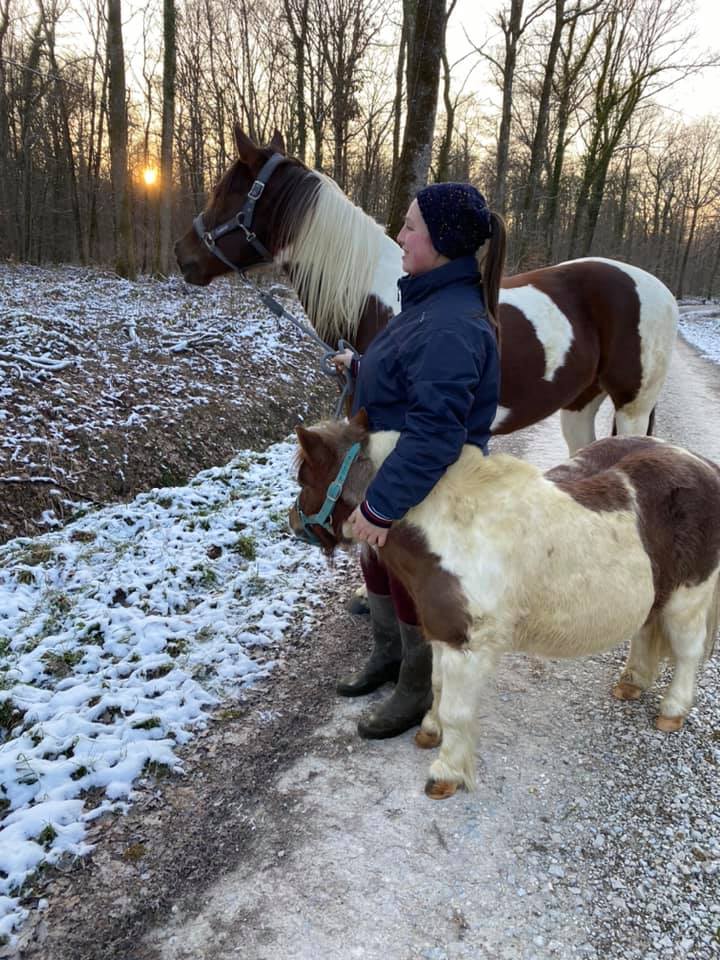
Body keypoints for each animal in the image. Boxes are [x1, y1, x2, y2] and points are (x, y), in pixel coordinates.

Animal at [176, 126, 680, 454]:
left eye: (226, 191)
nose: (183, 255)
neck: (380, 301)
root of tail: (660, 289)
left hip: (632, 409)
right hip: (578, 407)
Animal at [290, 416, 720, 800]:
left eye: (304, 479)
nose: (293, 522)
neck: (447, 525)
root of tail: (702, 464)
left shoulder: (466, 646)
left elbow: (457, 710)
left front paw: (446, 774)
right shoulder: (443, 634)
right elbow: (438, 685)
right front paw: (429, 730)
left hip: (687, 598)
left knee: (687, 652)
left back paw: (672, 711)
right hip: (657, 592)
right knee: (647, 629)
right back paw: (632, 683)